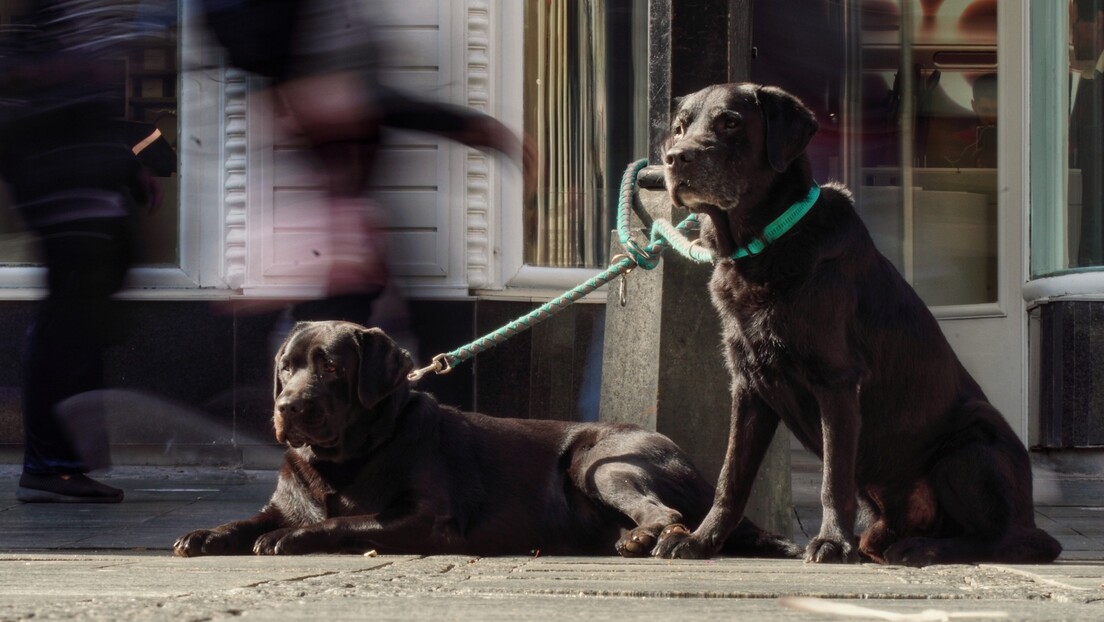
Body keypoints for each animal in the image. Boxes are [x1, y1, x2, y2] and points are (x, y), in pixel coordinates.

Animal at [172, 324, 799, 556]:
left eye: (329, 367)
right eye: (286, 367)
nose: (288, 406)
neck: (342, 461)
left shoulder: (425, 517)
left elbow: (344, 521)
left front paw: (290, 538)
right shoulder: (282, 501)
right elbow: (248, 519)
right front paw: (205, 533)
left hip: (602, 464)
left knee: (667, 513)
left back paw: (644, 537)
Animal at [649, 83, 1064, 570]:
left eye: (730, 122)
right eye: (680, 127)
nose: (675, 158)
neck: (765, 243)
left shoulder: (837, 382)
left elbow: (834, 478)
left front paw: (832, 543)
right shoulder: (749, 387)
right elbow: (731, 477)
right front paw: (700, 541)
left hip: (973, 441)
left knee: (1012, 539)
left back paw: (921, 548)